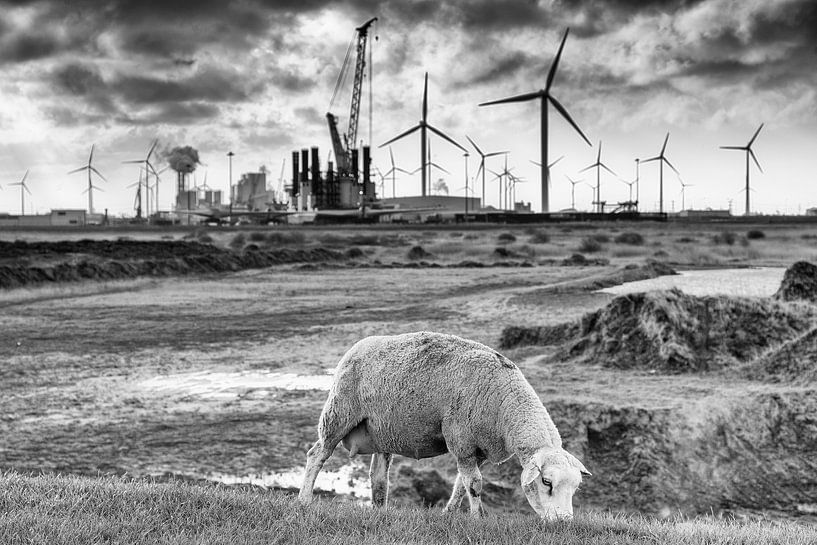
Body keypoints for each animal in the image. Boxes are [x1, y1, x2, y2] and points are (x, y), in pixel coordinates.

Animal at [296, 330, 588, 520]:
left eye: (576, 488)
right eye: (547, 482)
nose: (563, 522)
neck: (505, 404)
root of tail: (356, 347)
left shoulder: (478, 450)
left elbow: (461, 484)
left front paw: (449, 513)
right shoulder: (461, 440)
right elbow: (475, 484)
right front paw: (478, 519)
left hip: (381, 431)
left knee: (378, 475)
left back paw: (380, 511)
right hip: (339, 413)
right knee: (316, 455)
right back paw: (304, 500)